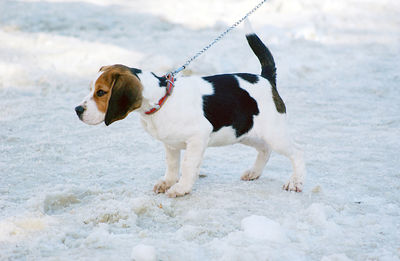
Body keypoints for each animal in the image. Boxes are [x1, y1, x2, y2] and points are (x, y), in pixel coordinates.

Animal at [76, 31, 306, 196]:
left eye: (101, 92)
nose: (77, 110)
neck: (162, 98)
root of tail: (266, 79)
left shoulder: (198, 137)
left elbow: (187, 166)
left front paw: (180, 188)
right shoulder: (170, 144)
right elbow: (172, 165)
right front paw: (167, 182)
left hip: (273, 132)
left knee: (297, 152)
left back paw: (295, 182)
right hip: (244, 132)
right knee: (265, 149)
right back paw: (254, 172)